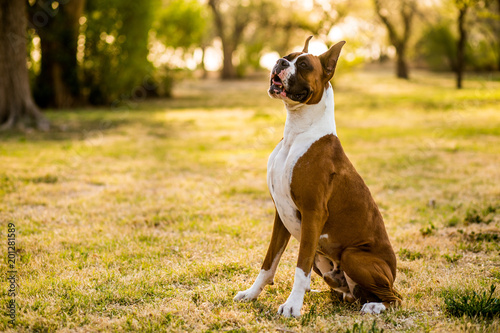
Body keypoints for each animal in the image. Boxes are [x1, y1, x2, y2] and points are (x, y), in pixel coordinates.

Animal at [234, 37, 402, 316]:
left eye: (303, 65)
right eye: (286, 55)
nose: (280, 62)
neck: (297, 132)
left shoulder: (313, 213)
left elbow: (300, 268)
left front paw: (292, 306)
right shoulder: (281, 215)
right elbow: (269, 262)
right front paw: (251, 293)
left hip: (354, 255)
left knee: (395, 297)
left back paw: (375, 306)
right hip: (325, 263)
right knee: (352, 293)